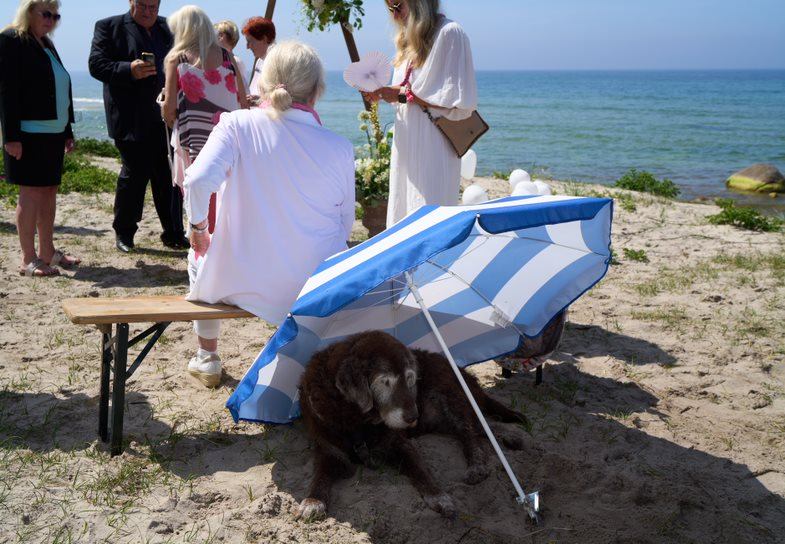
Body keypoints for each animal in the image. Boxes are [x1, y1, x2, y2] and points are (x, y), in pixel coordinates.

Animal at [294, 330, 528, 520]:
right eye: (385, 381)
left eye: (410, 378)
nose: (413, 416)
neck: (356, 419)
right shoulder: (328, 450)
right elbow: (320, 476)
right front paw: (312, 501)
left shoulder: (399, 444)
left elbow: (420, 470)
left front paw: (439, 497)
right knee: (480, 426)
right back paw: (510, 436)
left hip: (451, 400)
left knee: (470, 434)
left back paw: (477, 466)